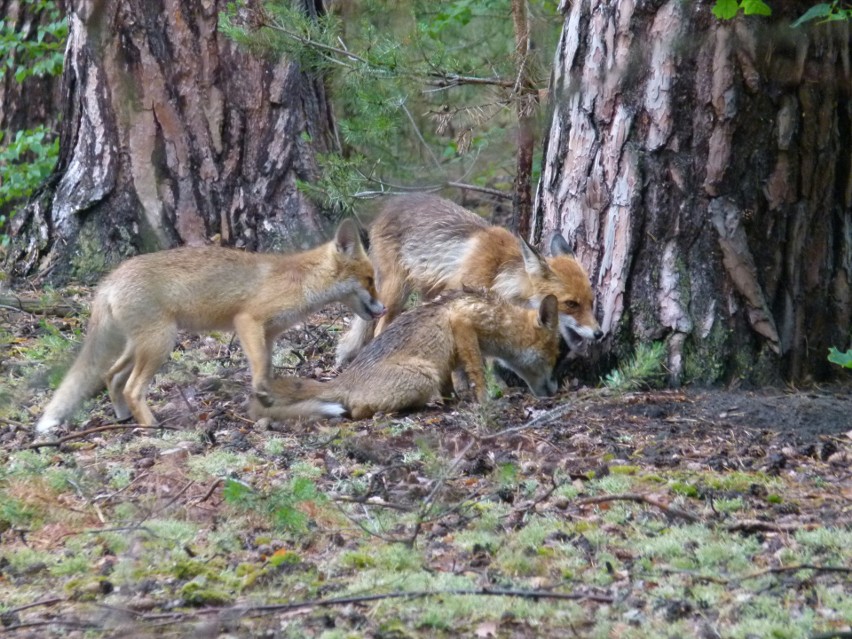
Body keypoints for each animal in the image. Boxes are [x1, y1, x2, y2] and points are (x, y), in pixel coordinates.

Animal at [34, 220, 386, 436]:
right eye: (371, 280)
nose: (383, 309)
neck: (302, 281)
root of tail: (110, 279)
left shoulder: (269, 333)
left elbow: (266, 366)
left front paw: (267, 397)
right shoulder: (248, 321)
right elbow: (260, 367)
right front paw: (262, 394)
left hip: (141, 345)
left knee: (111, 376)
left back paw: (124, 417)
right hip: (160, 343)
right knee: (132, 388)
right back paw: (151, 426)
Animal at [250, 288, 564, 420]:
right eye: (555, 353)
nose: (554, 390)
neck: (496, 317)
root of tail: (345, 379)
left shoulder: (449, 359)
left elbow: (450, 384)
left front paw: (454, 401)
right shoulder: (462, 323)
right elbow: (477, 372)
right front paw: (486, 401)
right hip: (423, 375)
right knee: (357, 412)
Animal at [336, 194, 604, 370]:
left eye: (591, 302)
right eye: (571, 304)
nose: (599, 333)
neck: (499, 273)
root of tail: (389, 205)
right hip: (395, 293)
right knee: (378, 329)